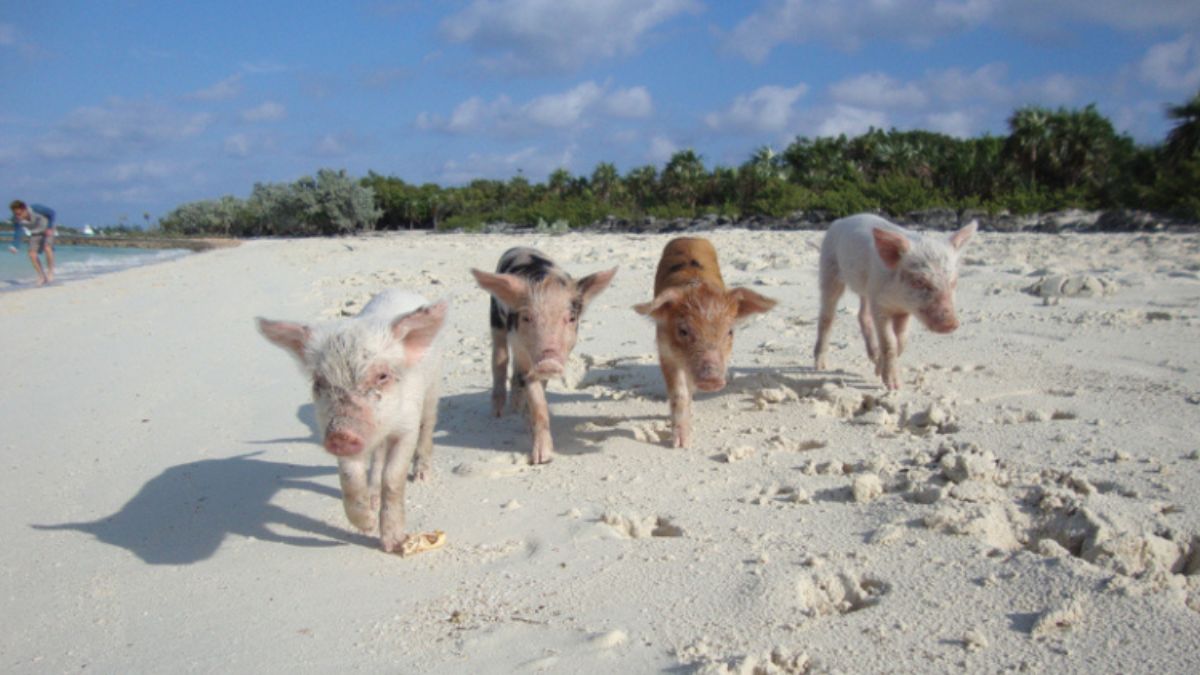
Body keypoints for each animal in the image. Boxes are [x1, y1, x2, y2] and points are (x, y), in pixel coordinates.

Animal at [256, 289, 447, 553]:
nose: (341, 434)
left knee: (427, 425)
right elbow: (349, 477)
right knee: (377, 457)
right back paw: (373, 497)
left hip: (433, 388)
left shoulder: (406, 426)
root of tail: (401, 290)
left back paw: (421, 476)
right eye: (319, 381)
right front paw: (366, 525)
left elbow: (393, 478)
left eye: (382, 376)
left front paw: (393, 544)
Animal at [471, 248, 617, 465]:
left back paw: (516, 410)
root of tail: (518, 247)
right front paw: (541, 459)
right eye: (526, 317)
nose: (549, 361)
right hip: (495, 319)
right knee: (499, 360)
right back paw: (498, 413)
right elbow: (537, 402)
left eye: (571, 318)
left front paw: (529, 427)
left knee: (515, 375)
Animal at [634, 237, 777, 448]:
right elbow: (679, 393)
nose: (711, 379)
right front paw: (681, 444)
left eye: (730, 331)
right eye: (683, 330)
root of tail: (689, 237)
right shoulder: (664, 351)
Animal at [812, 213, 977, 390]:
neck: (897, 300)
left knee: (862, 315)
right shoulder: (879, 304)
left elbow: (901, 340)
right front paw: (893, 385)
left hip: (866, 288)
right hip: (829, 268)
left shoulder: (903, 310)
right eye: (919, 281)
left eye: (953, 282)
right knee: (827, 315)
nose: (951, 324)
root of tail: (842, 221)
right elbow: (889, 342)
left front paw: (878, 371)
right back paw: (820, 366)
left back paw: (873, 356)